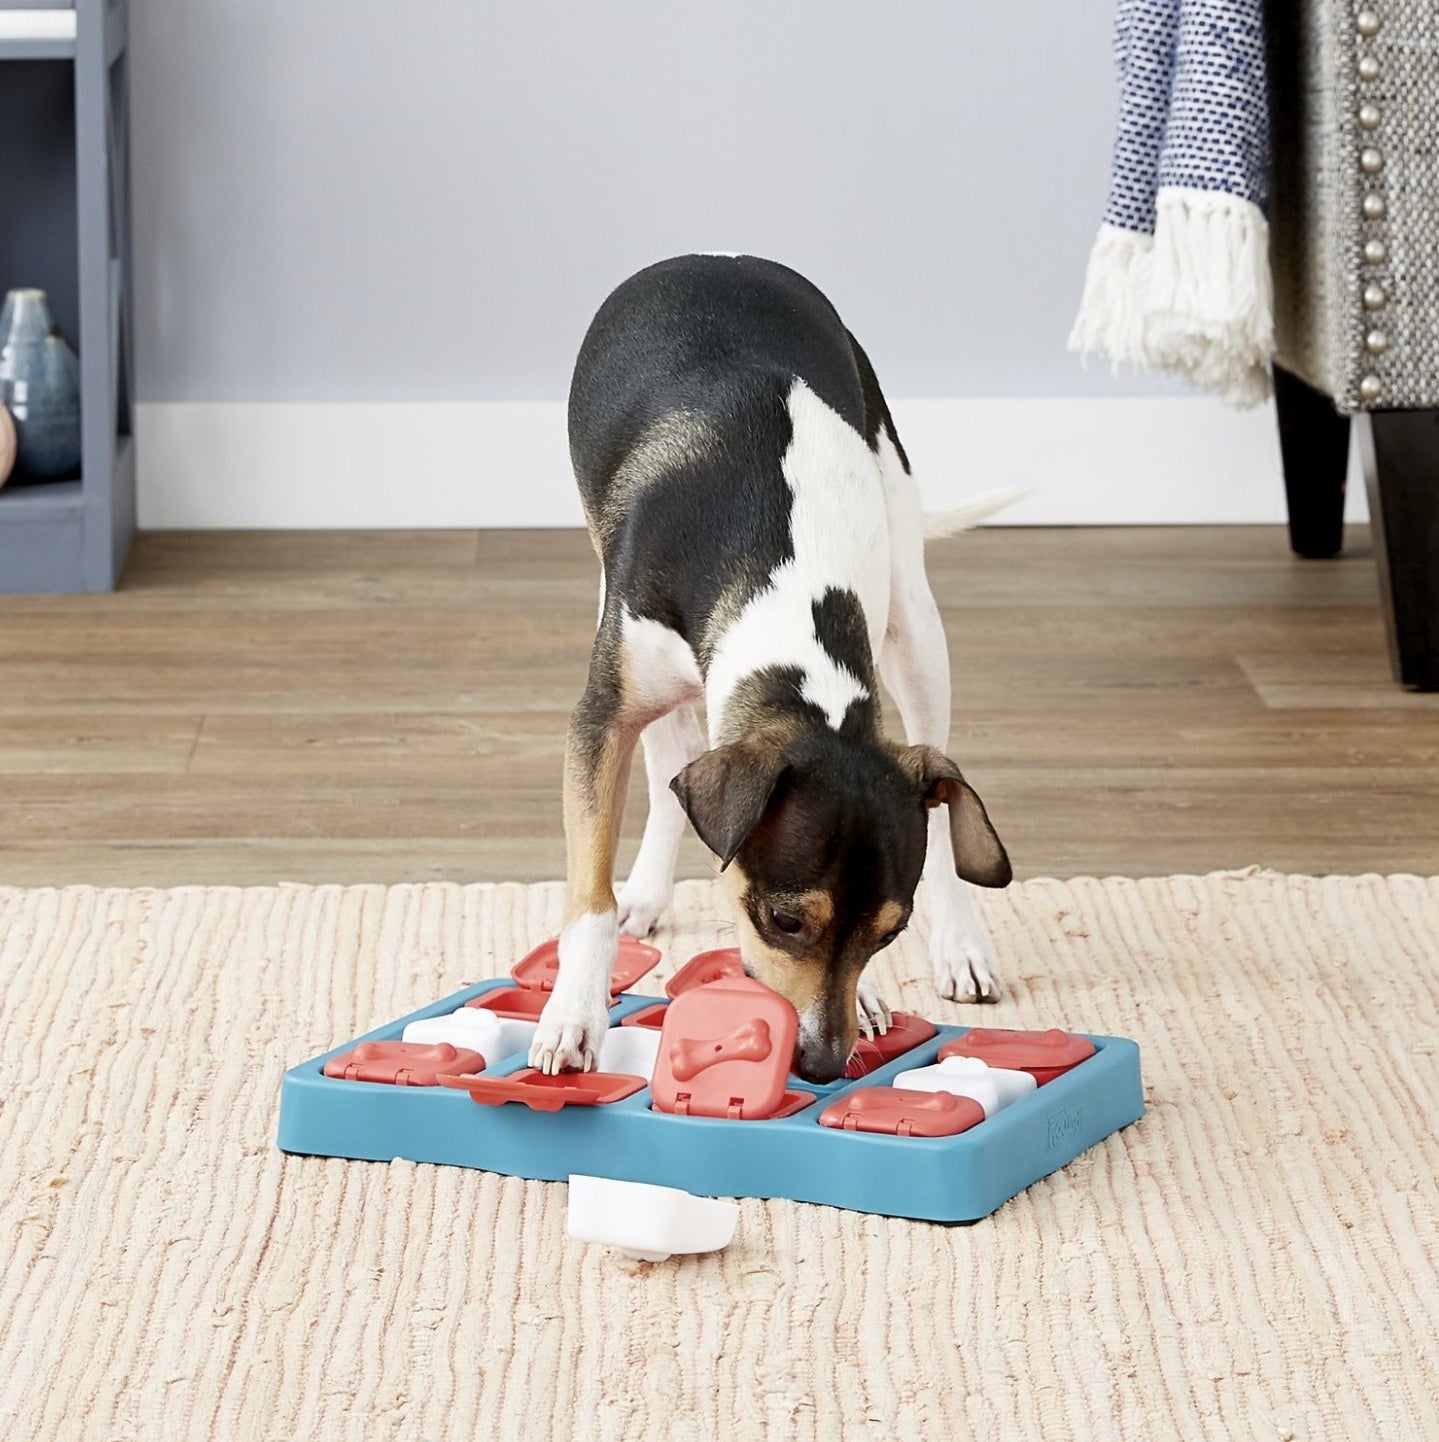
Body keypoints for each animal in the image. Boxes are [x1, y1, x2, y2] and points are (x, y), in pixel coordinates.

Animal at [530, 256, 1015, 1084]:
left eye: (887, 936)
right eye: (784, 920)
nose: (819, 1064)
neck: (779, 570)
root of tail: (715, 257)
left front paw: (870, 998)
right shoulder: (602, 715)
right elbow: (588, 894)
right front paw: (572, 1016)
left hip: (917, 625)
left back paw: (962, 946)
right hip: (613, 608)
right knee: (668, 762)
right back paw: (644, 892)